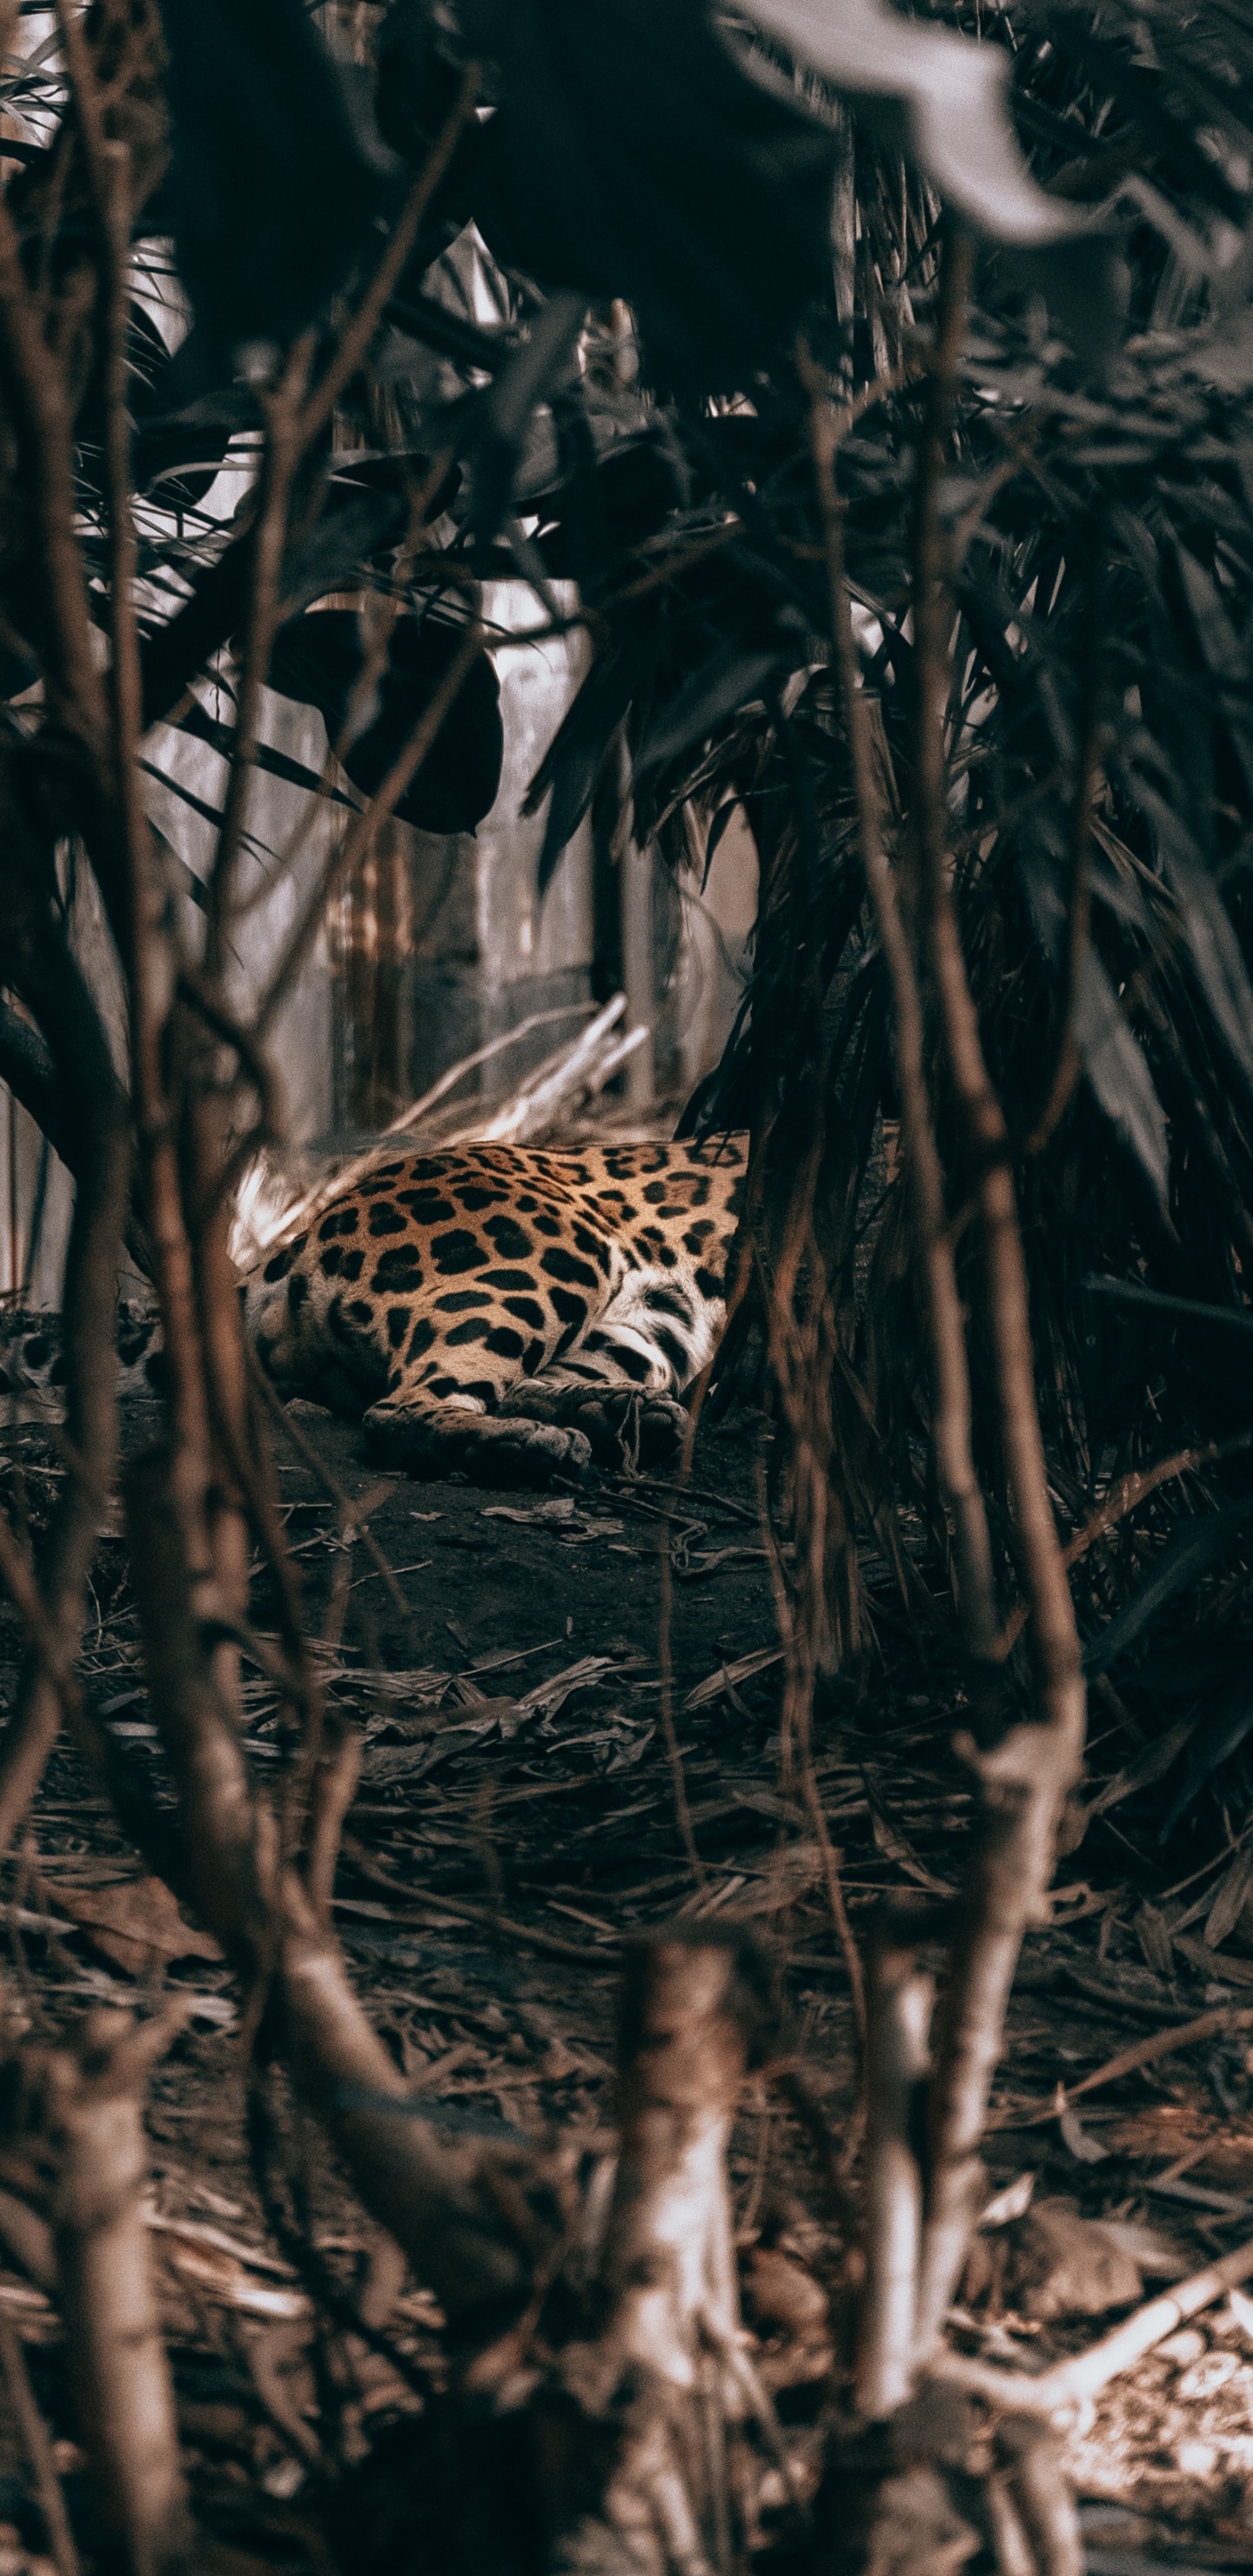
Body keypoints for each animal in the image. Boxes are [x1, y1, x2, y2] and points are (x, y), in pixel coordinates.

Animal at [0, 1132, 748, 1486]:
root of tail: (298, 1236)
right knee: (401, 1407)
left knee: (520, 1382)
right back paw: (534, 1445)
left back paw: (622, 1416)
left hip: (653, 1321)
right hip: (550, 1253)